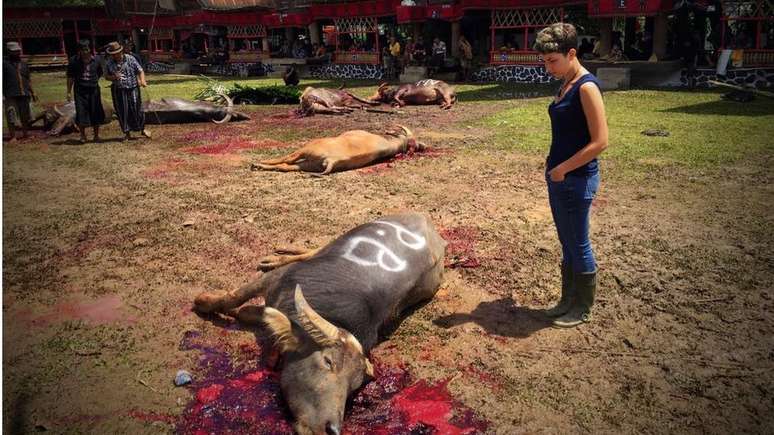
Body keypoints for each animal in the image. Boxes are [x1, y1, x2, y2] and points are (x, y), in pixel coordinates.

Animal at [196, 215, 448, 435]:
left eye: (354, 385)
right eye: (328, 361)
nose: (332, 429)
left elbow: (249, 312)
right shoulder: (274, 280)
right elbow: (232, 298)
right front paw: (203, 301)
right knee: (315, 250)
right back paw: (276, 258)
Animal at [253, 124, 424, 175]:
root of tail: (332, 161)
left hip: (306, 150)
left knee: (285, 160)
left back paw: (258, 164)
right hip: (307, 165)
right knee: (285, 166)